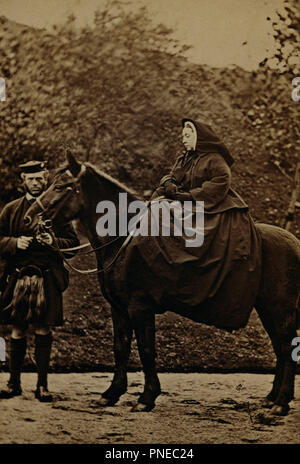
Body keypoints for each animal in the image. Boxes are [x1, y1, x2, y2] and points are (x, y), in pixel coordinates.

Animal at [25, 153, 300, 416]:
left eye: (61, 186)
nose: (29, 219)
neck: (124, 238)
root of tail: (295, 242)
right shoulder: (119, 308)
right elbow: (120, 348)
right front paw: (112, 393)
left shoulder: (140, 307)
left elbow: (146, 350)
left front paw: (146, 398)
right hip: (268, 310)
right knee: (280, 348)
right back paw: (272, 398)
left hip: (279, 310)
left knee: (287, 348)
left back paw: (280, 403)